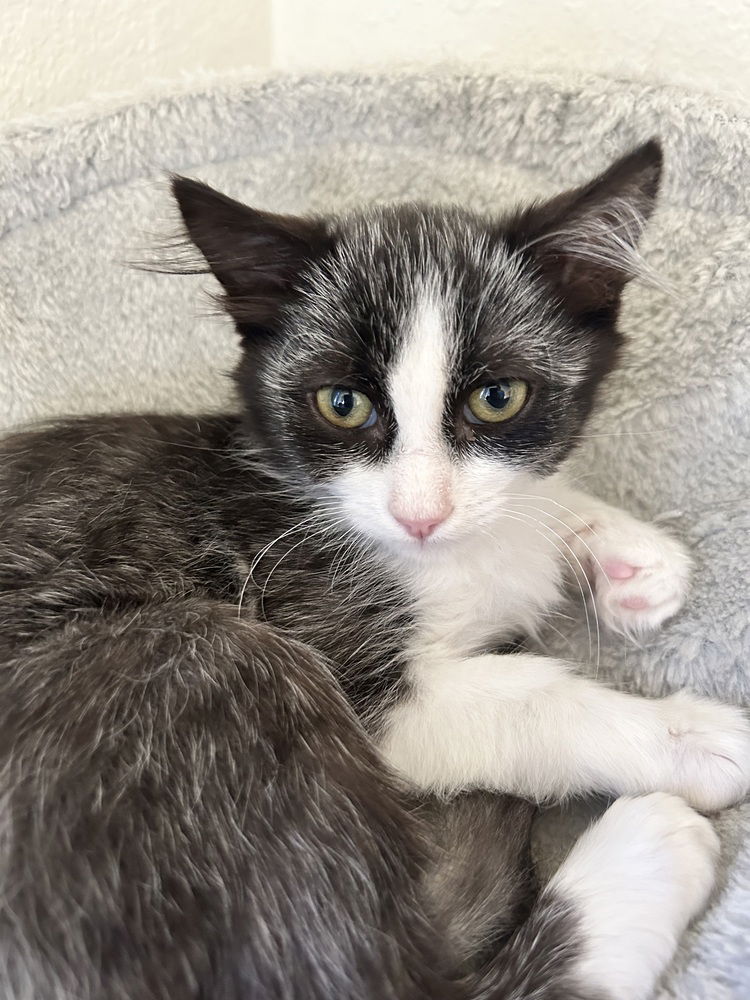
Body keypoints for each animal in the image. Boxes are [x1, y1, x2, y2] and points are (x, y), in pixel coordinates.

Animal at [0, 141, 748, 1000]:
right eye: (342, 404)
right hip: (197, 654)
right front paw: (685, 735)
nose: (420, 513)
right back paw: (645, 854)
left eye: (498, 397)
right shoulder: (329, 638)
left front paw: (623, 553)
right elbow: (529, 697)